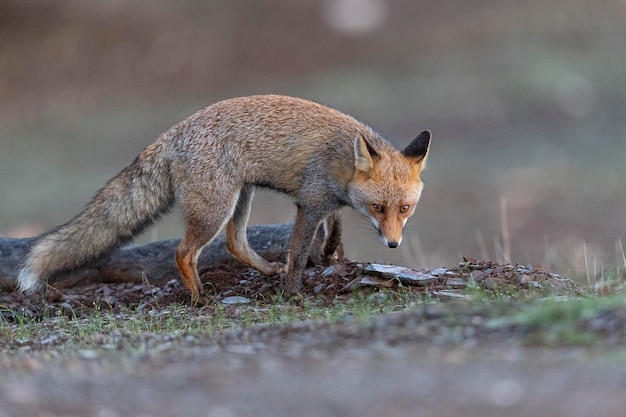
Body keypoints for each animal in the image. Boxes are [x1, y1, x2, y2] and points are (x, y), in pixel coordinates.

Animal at [18, 94, 428, 302]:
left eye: (405, 209)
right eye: (378, 208)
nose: (393, 245)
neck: (341, 160)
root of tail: (169, 135)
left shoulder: (325, 201)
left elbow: (335, 228)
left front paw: (327, 253)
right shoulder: (309, 203)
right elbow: (297, 255)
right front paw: (293, 293)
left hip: (240, 196)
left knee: (235, 242)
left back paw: (264, 271)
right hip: (216, 208)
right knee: (184, 253)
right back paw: (200, 297)